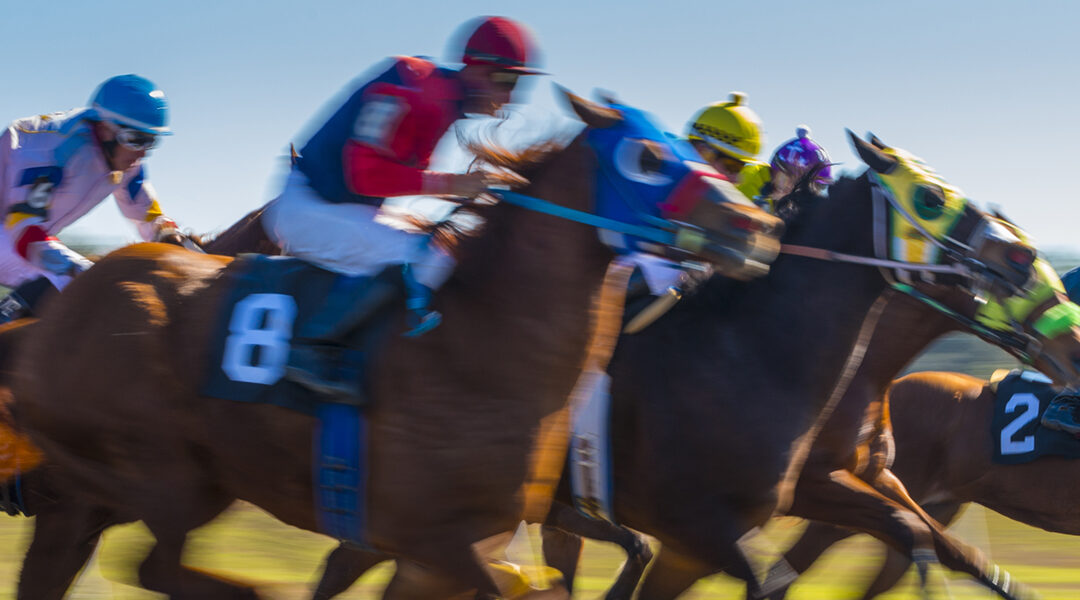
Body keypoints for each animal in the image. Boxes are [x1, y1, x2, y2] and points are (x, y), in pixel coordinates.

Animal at [10, 94, 786, 600]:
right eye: (650, 157)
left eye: (687, 149)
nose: (756, 226)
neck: (487, 343)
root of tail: (54, 323)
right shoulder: (440, 538)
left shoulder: (451, 550)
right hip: (167, 474)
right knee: (157, 567)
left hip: (100, 495)